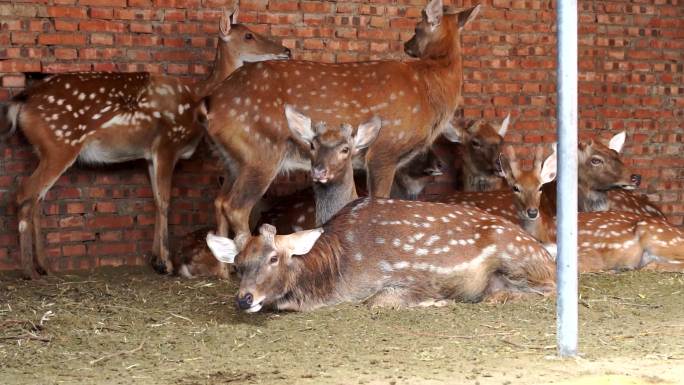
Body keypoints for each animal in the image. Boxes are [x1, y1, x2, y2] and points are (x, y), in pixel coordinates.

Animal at [0, 9, 290, 280]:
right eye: (249, 35)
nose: (286, 50)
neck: (196, 98)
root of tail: (22, 101)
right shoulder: (167, 145)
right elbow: (165, 201)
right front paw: (167, 264)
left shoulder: (150, 155)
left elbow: (156, 200)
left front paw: (156, 260)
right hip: (59, 145)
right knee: (24, 194)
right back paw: (29, 270)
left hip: (44, 150)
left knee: (36, 199)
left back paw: (45, 266)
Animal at [203, 0, 480, 246]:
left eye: (416, 29)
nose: (407, 44)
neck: (429, 88)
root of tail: (210, 102)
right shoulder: (385, 149)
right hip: (261, 150)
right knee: (236, 207)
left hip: (232, 159)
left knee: (219, 201)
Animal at [207, 196, 556, 310]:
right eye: (238, 264)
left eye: (274, 257)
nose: (244, 298)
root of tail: (547, 255)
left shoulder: (405, 277)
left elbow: (377, 302)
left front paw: (437, 302)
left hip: (519, 258)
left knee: (550, 289)